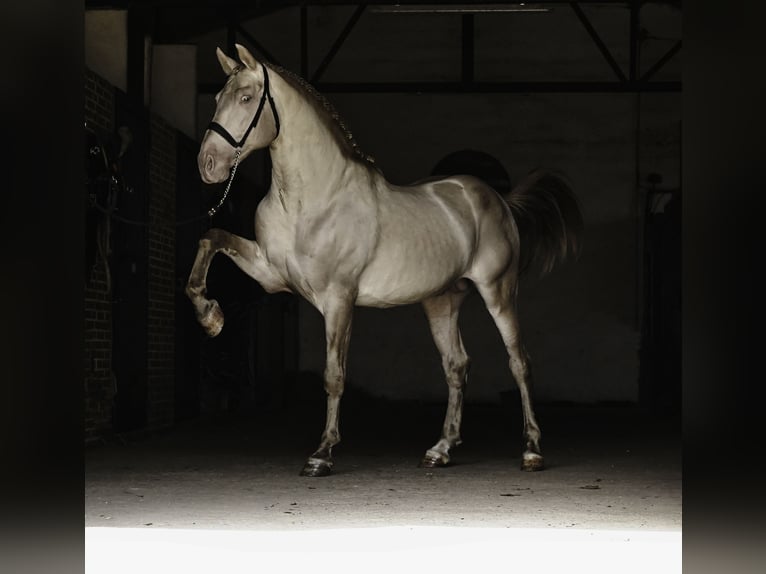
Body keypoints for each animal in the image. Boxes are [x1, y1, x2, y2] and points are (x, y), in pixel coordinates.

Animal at [186, 43, 583, 477]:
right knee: (456, 365)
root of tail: (497, 198)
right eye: (216, 98)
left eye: (245, 98)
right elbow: (211, 238)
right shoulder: (270, 274)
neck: (312, 198)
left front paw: (322, 454)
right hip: (442, 301)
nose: (208, 165)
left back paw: (531, 450)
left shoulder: (339, 299)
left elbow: (334, 374)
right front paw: (210, 317)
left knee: (519, 362)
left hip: (498, 290)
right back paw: (440, 449)